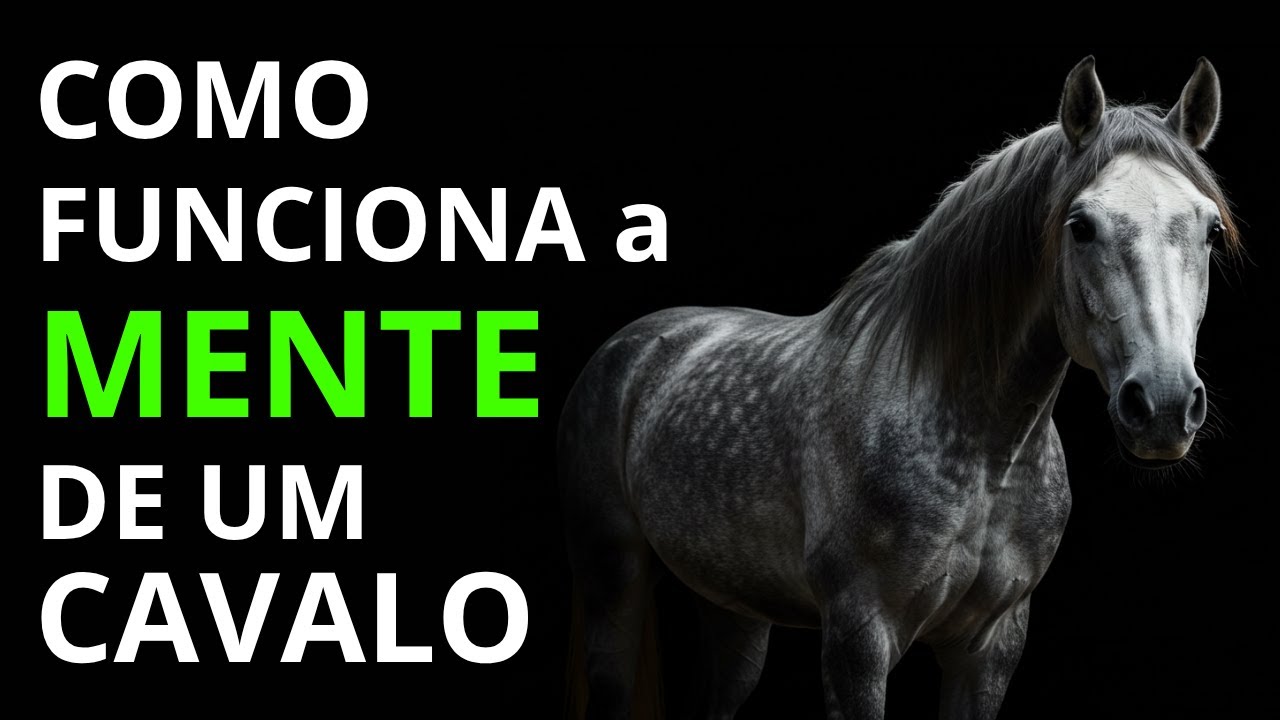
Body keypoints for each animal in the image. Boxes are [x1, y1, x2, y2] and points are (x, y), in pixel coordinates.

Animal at [558, 56, 1238, 719]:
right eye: (1081, 226)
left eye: (1208, 230)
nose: (1164, 406)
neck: (987, 455)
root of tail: (628, 348)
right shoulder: (859, 640)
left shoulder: (989, 649)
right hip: (615, 578)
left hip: (733, 608)